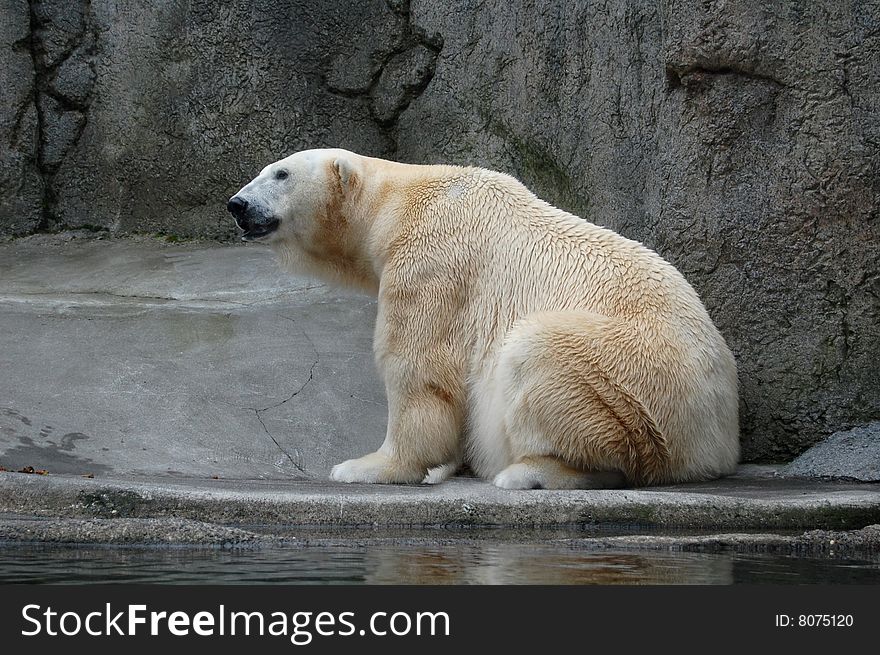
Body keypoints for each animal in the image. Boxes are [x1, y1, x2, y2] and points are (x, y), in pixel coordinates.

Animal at [225, 147, 736, 486]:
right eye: (264, 171)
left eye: (280, 173)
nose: (237, 204)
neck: (397, 203)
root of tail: (718, 438)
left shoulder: (432, 263)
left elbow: (419, 371)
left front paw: (366, 466)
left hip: (637, 377)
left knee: (539, 355)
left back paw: (529, 473)